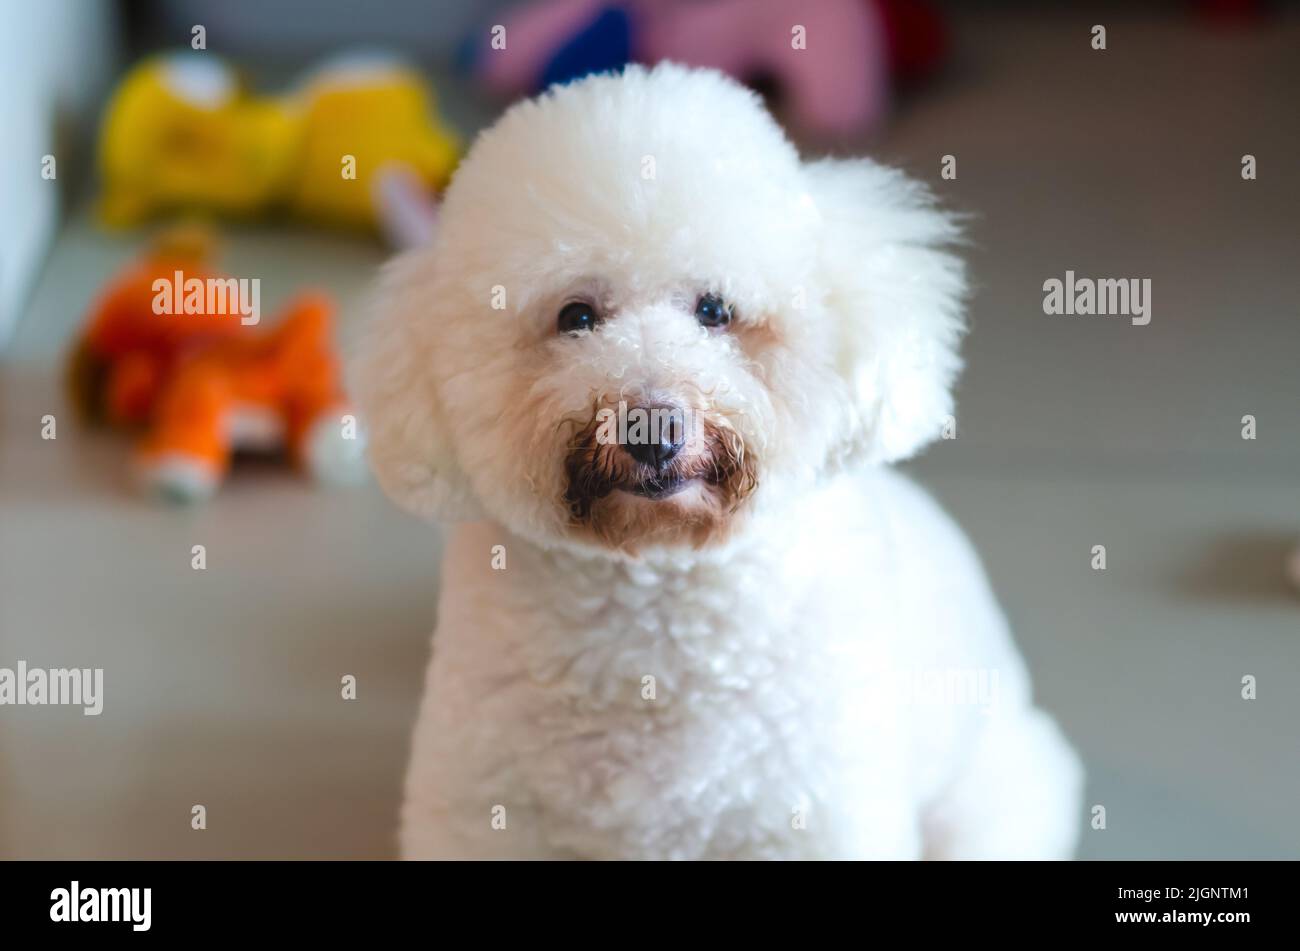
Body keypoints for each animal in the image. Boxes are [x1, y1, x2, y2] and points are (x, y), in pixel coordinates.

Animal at [351, 63, 1081, 857]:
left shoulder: (808, 819)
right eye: (576, 316)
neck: (652, 599)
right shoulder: (484, 814)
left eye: (714, 309)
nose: (652, 430)